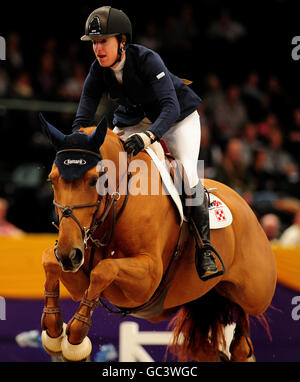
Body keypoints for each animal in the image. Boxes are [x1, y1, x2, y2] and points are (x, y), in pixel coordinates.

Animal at [39, 115, 276, 362]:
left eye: (94, 180)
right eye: (52, 180)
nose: (68, 255)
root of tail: (246, 205)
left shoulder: (148, 277)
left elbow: (104, 269)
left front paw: (75, 337)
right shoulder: (78, 271)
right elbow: (50, 260)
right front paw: (53, 332)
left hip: (253, 295)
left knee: (242, 332)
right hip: (200, 301)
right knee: (204, 347)